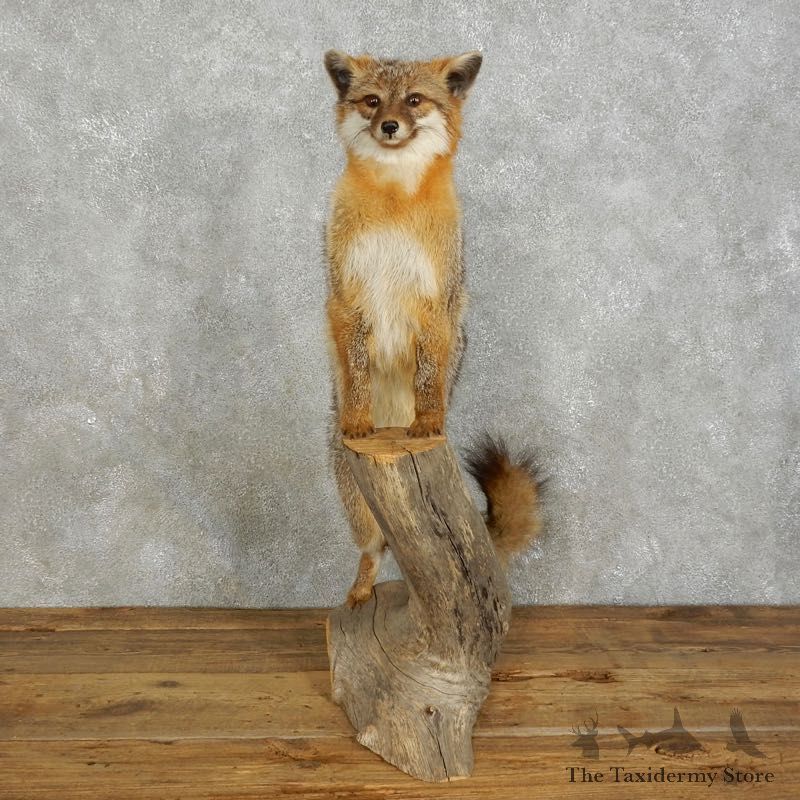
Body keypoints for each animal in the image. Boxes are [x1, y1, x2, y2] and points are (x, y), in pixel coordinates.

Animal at [323, 50, 542, 607]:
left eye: (414, 100)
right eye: (372, 101)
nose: (390, 126)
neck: (395, 206)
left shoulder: (436, 305)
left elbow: (427, 376)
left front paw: (425, 421)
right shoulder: (345, 298)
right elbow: (357, 368)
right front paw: (359, 417)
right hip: (350, 487)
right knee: (375, 549)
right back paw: (361, 589)